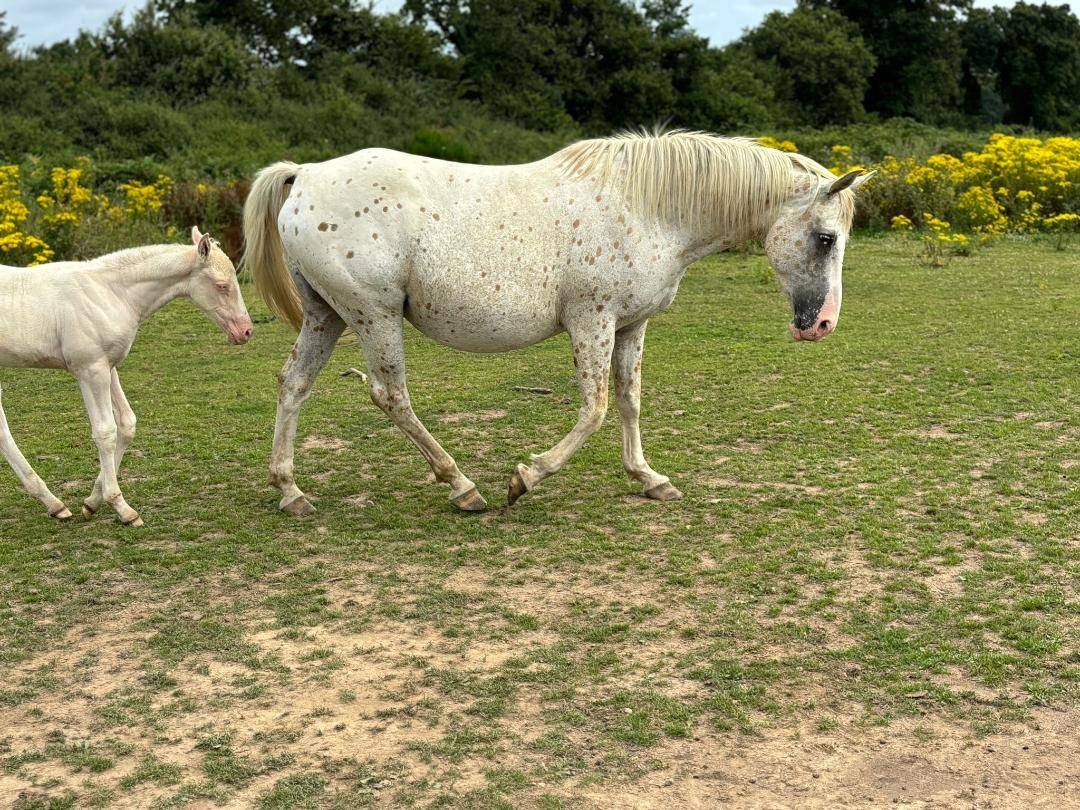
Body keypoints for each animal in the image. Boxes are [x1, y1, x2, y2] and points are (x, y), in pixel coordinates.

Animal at [0, 228, 253, 525]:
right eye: (222, 285)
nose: (246, 332)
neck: (111, 292)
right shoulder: (91, 370)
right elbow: (105, 432)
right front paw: (121, 507)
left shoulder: (109, 367)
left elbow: (127, 423)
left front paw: (93, 502)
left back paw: (54, 504)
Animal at [242, 131, 873, 516]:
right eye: (826, 238)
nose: (823, 324)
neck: (647, 208)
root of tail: (305, 176)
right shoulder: (592, 320)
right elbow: (593, 408)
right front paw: (526, 477)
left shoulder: (630, 326)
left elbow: (628, 400)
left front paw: (648, 478)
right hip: (371, 316)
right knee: (390, 396)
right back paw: (463, 486)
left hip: (327, 317)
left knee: (294, 385)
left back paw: (290, 491)